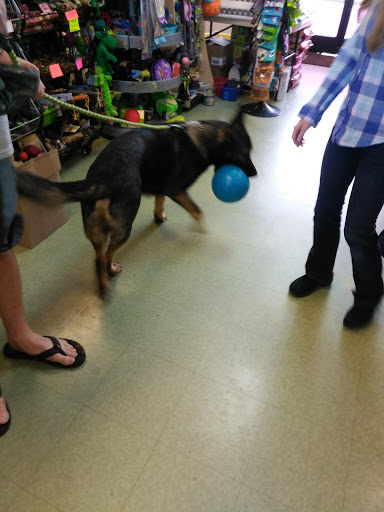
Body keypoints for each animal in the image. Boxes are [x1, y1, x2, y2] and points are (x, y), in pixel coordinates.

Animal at [18, 110, 258, 298]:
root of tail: (101, 180)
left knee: (98, 260)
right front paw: (201, 228)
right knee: (107, 254)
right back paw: (111, 275)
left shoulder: (163, 187)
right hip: (124, 228)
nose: (255, 174)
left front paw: (159, 216)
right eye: (243, 153)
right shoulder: (176, 190)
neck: (203, 138)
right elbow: (197, 211)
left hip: (96, 231)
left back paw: (104, 282)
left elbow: (160, 202)